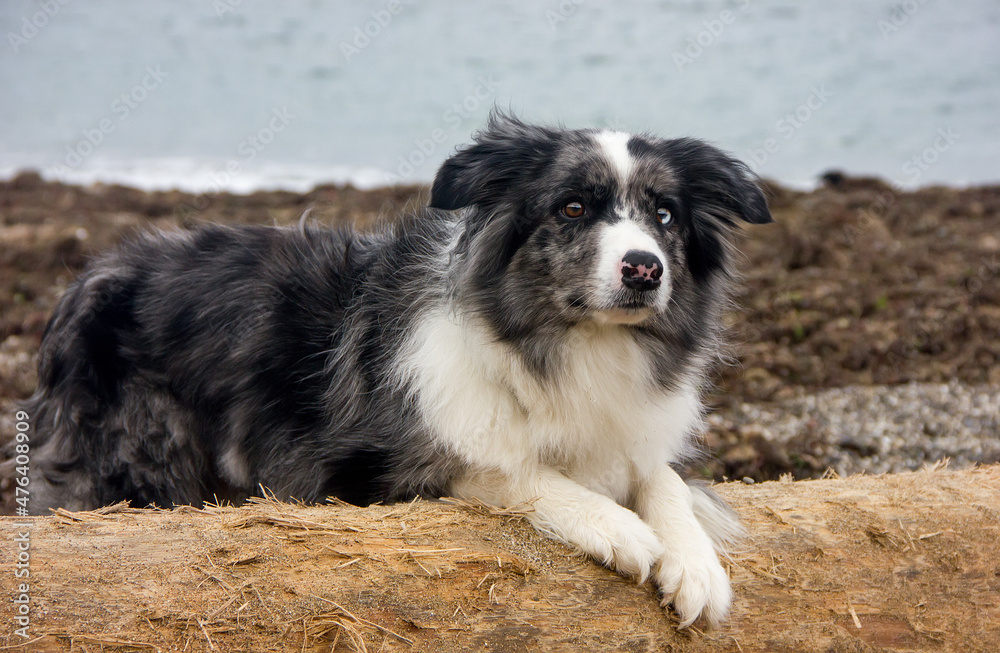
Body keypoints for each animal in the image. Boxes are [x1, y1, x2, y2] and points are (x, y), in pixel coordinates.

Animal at [11, 113, 768, 628]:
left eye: (664, 215)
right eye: (574, 207)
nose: (644, 269)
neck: (569, 345)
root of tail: (87, 281)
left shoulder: (630, 434)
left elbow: (662, 478)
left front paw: (695, 564)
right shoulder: (367, 468)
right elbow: (514, 471)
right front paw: (618, 528)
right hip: (139, 457)